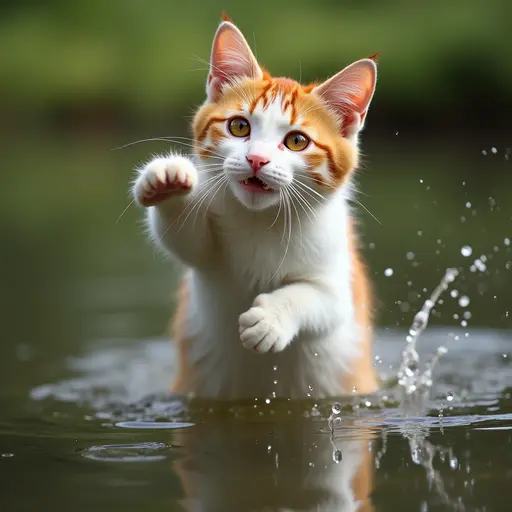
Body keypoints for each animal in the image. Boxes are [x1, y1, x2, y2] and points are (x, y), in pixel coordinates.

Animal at [132, 14, 380, 400]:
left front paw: (270, 319)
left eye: (297, 141)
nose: (256, 159)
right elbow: (185, 240)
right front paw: (166, 180)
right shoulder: (206, 257)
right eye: (239, 126)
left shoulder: (341, 283)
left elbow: (317, 298)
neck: (260, 219)